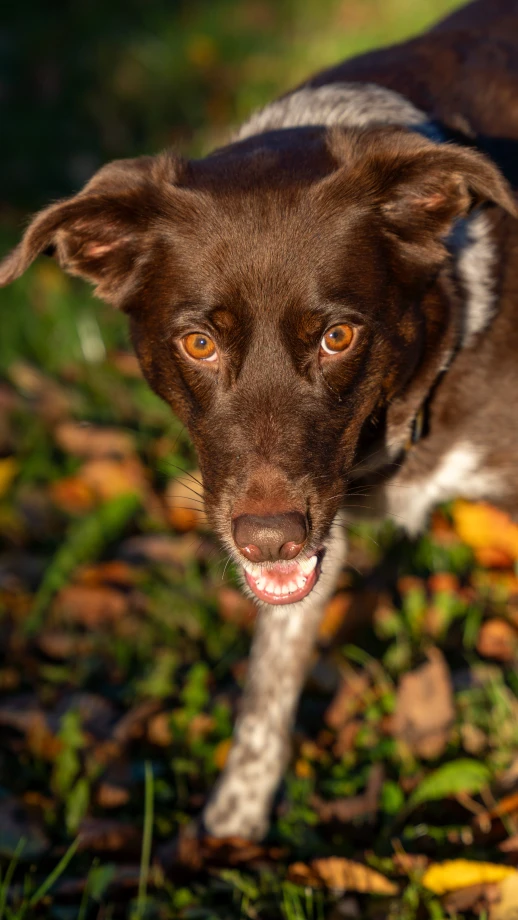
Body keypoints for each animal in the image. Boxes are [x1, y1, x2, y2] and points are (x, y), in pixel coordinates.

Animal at [1, 0, 518, 840]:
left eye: (339, 336)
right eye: (198, 342)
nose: (269, 539)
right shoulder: (311, 515)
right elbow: (270, 680)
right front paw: (231, 829)